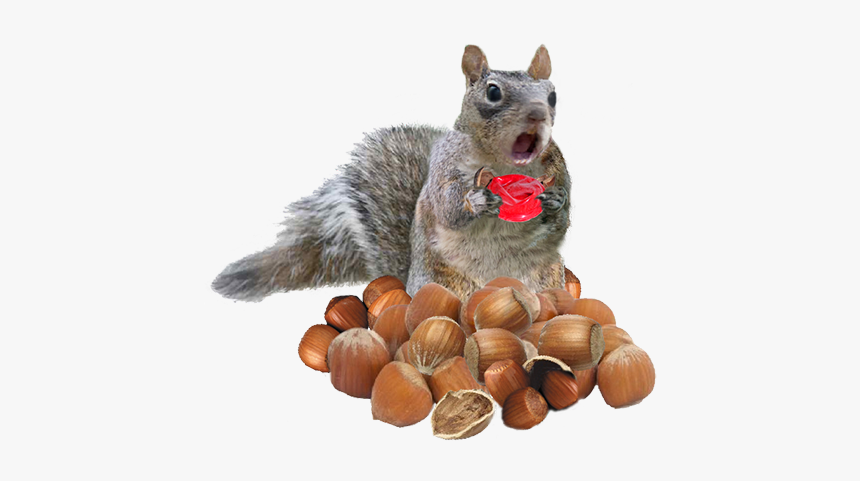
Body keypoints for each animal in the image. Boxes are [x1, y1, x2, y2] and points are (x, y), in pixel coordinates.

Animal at [212, 45, 571, 302]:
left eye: (553, 95)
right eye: (493, 92)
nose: (538, 114)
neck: (504, 163)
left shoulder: (558, 165)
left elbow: (563, 214)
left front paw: (556, 199)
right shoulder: (444, 166)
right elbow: (447, 206)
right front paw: (479, 199)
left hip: (548, 277)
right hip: (444, 283)